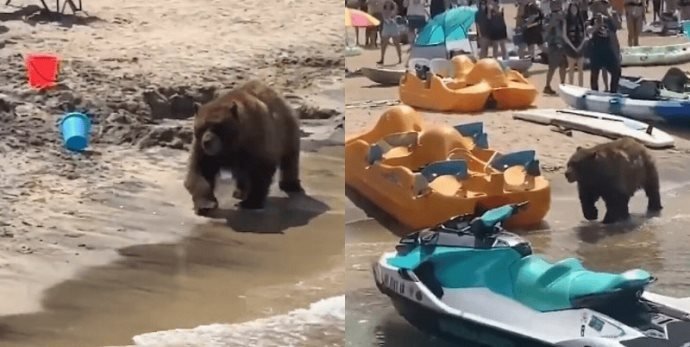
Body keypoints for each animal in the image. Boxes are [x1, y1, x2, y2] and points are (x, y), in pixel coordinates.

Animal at [183, 80, 300, 216]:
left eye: (217, 126)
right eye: (201, 127)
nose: (207, 142)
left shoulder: (256, 141)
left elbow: (261, 171)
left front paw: (251, 202)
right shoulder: (203, 150)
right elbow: (200, 170)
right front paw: (205, 205)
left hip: (286, 130)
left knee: (290, 157)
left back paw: (290, 185)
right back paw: (239, 192)